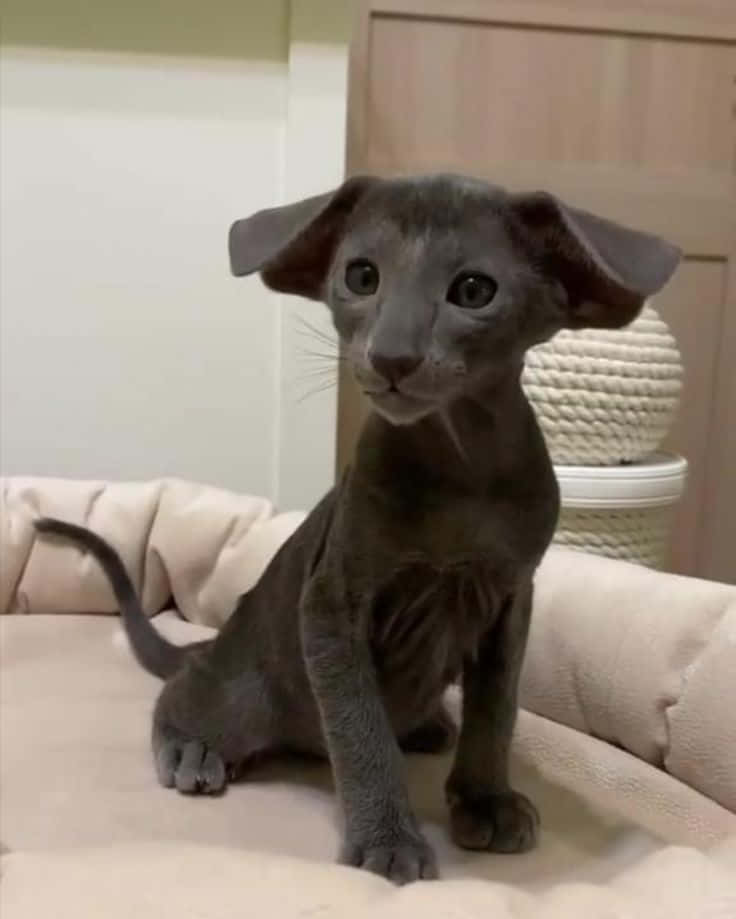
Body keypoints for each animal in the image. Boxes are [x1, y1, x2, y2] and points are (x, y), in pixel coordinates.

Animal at [34, 172, 680, 884]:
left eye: (473, 291)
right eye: (362, 276)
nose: (391, 355)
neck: (463, 467)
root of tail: (221, 640)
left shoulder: (512, 597)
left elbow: (496, 710)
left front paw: (485, 798)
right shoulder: (330, 604)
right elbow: (358, 724)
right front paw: (387, 837)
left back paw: (427, 725)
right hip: (245, 691)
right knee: (186, 691)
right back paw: (192, 747)